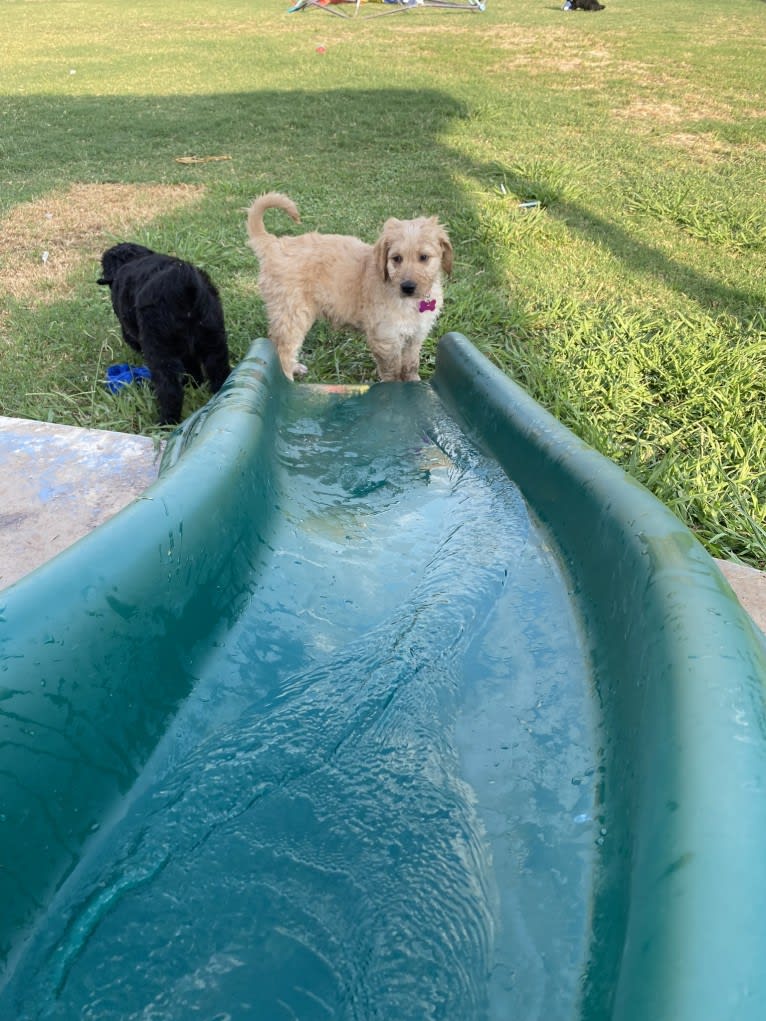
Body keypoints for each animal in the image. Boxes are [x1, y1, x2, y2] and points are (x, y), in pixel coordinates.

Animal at [99, 242, 230, 422]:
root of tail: (181, 279)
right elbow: (192, 365)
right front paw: (195, 383)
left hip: (159, 349)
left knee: (169, 389)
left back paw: (166, 421)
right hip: (213, 336)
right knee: (219, 370)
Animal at [246, 191, 453, 383]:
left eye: (424, 257)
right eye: (396, 259)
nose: (408, 287)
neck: (410, 302)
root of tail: (274, 243)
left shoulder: (415, 335)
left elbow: (411, 365)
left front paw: (416, 384)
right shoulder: (385, 338)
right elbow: (392, 371)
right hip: (292, 313)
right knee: (283, 350)